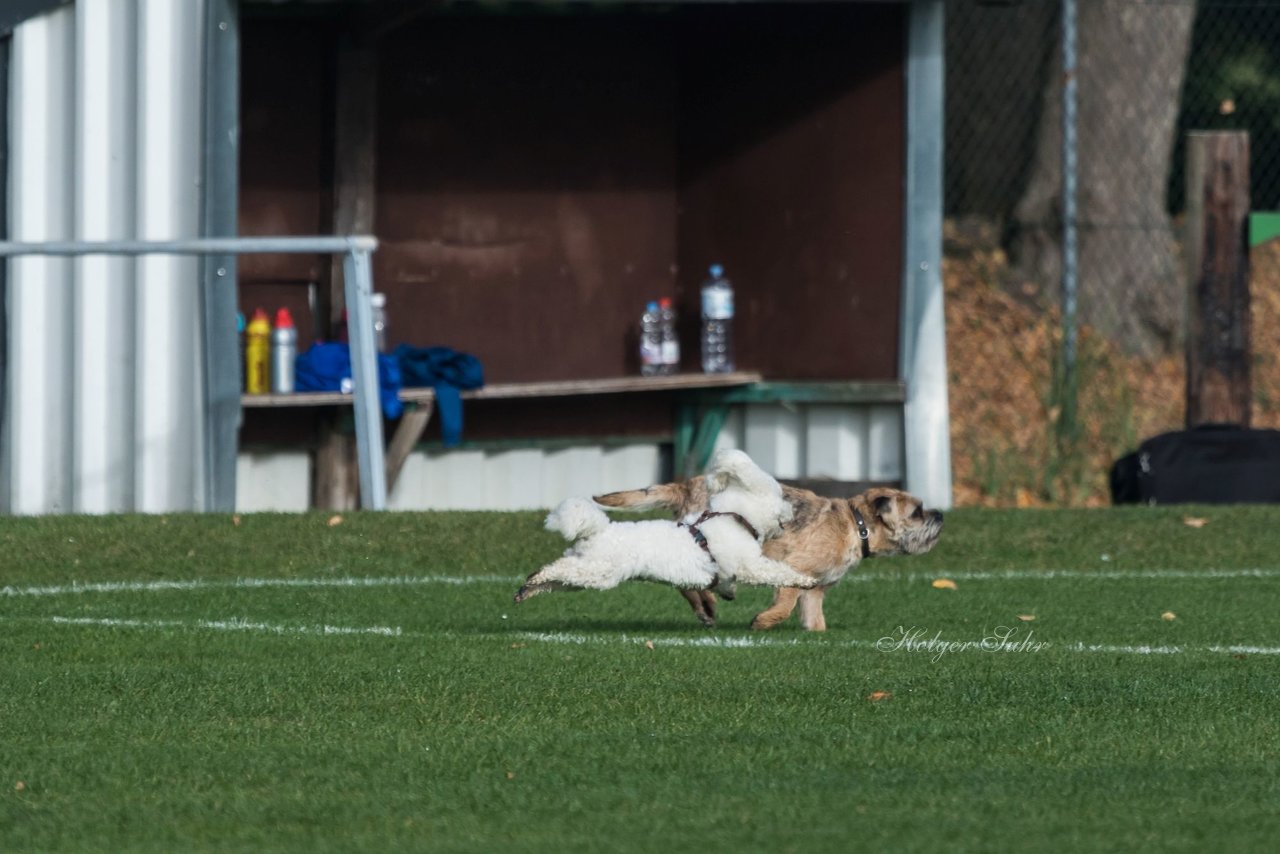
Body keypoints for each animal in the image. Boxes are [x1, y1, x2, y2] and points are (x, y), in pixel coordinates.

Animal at [514, 448, 814, 601]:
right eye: (781, 496)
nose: (791, 511)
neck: (734, 516)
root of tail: (600, 530)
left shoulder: (728, 573)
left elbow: (726, 584)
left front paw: (728, 594)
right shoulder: (750, 566)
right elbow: (778, 572)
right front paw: (806, 580)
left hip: (586, 570)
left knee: (559, 575)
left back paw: (528, 588)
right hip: (599, 571)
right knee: (558, 571)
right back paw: (534, 580)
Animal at [591, 478, 942, 632]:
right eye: (917, 512)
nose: (940, 514)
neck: (855, 525)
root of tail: (686, 484)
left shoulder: (815, 592)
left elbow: (815, 620)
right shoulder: (793, 568)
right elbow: (786, 603)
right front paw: (764, 621)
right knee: (687, 583)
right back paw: (708, 606)